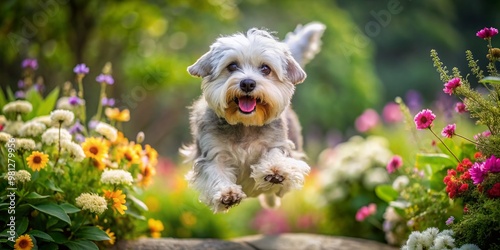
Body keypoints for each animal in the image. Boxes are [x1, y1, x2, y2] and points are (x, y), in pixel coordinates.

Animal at [182, 22, 326, 212]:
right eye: (232, 66)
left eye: (265, 68)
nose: (248, 83)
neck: (246, 125)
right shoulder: (212, 152)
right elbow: (214, 171)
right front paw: (227, 193)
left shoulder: (279, 144)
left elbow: (277, 155)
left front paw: (275, 169)